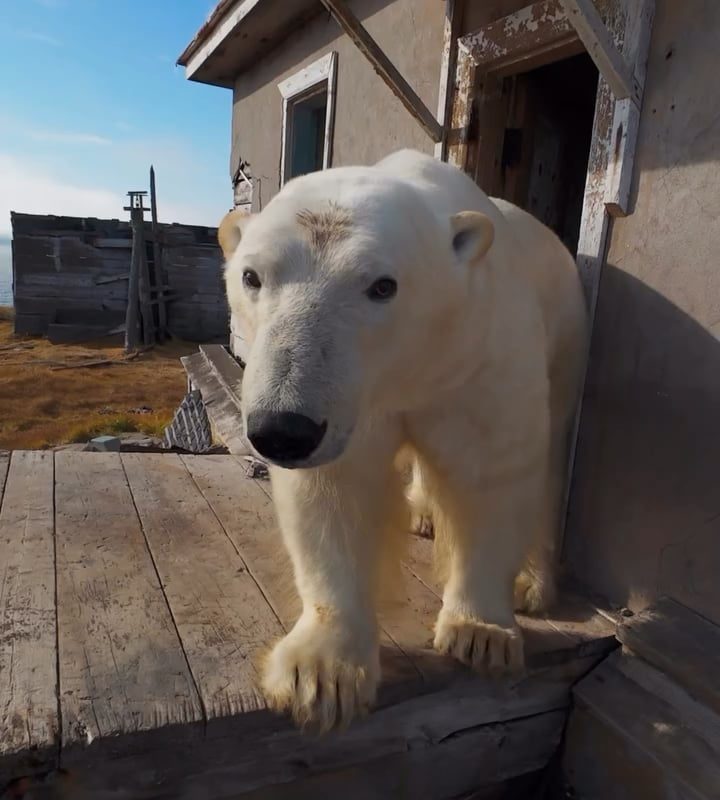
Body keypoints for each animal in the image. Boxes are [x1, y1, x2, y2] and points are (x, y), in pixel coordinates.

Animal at [218, 149, 588, 733]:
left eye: (382, 285)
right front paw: (322, 674)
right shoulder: (355, 402)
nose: (282, 429)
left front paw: (480, 633)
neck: (408, 364)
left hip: (567, 334)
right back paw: (421, 512)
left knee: (552, 461)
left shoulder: (479, 357)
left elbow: (492, 476)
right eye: (251, 276)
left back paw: (532, 582)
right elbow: (336, 491)